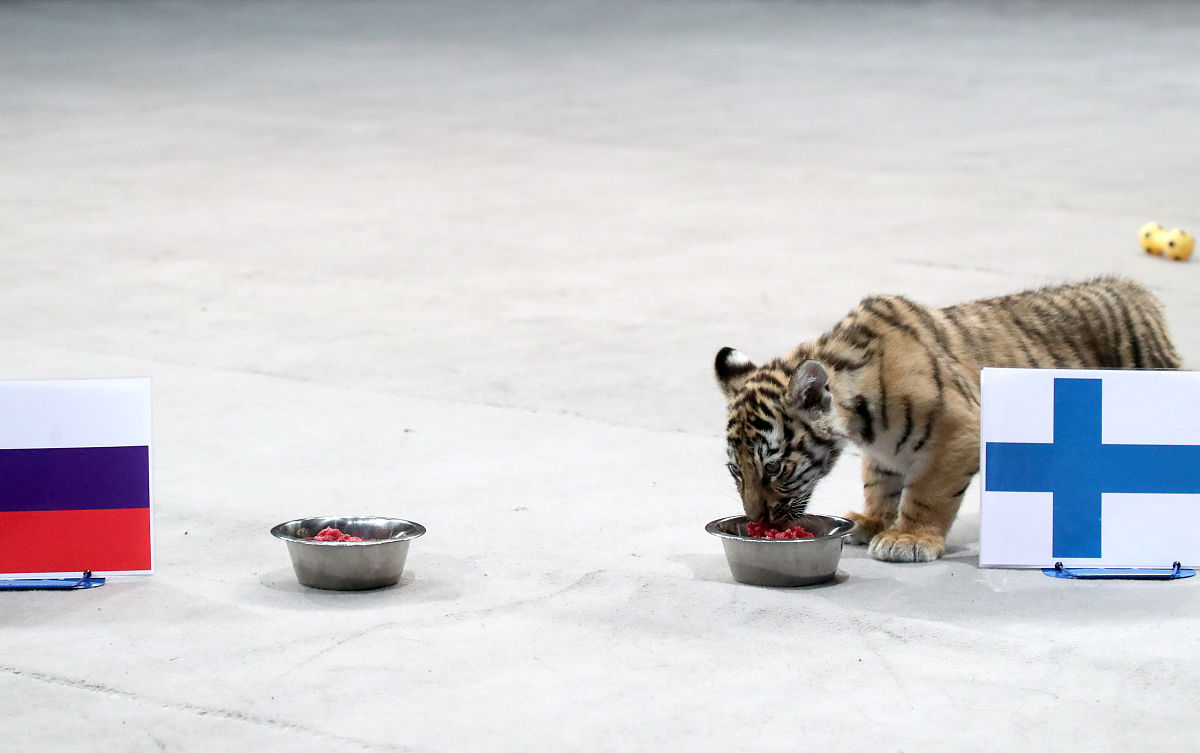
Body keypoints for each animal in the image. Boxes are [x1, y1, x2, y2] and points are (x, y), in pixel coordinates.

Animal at [714, 276, 1182, 562]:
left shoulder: (961, 430)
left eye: (775, 468)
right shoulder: (882, 452)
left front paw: (907, 538)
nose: (758, 522)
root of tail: (1136, 289)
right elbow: (879, 484)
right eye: (736, 471)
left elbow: (927, 493)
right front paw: (871, 521)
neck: (858, 417)